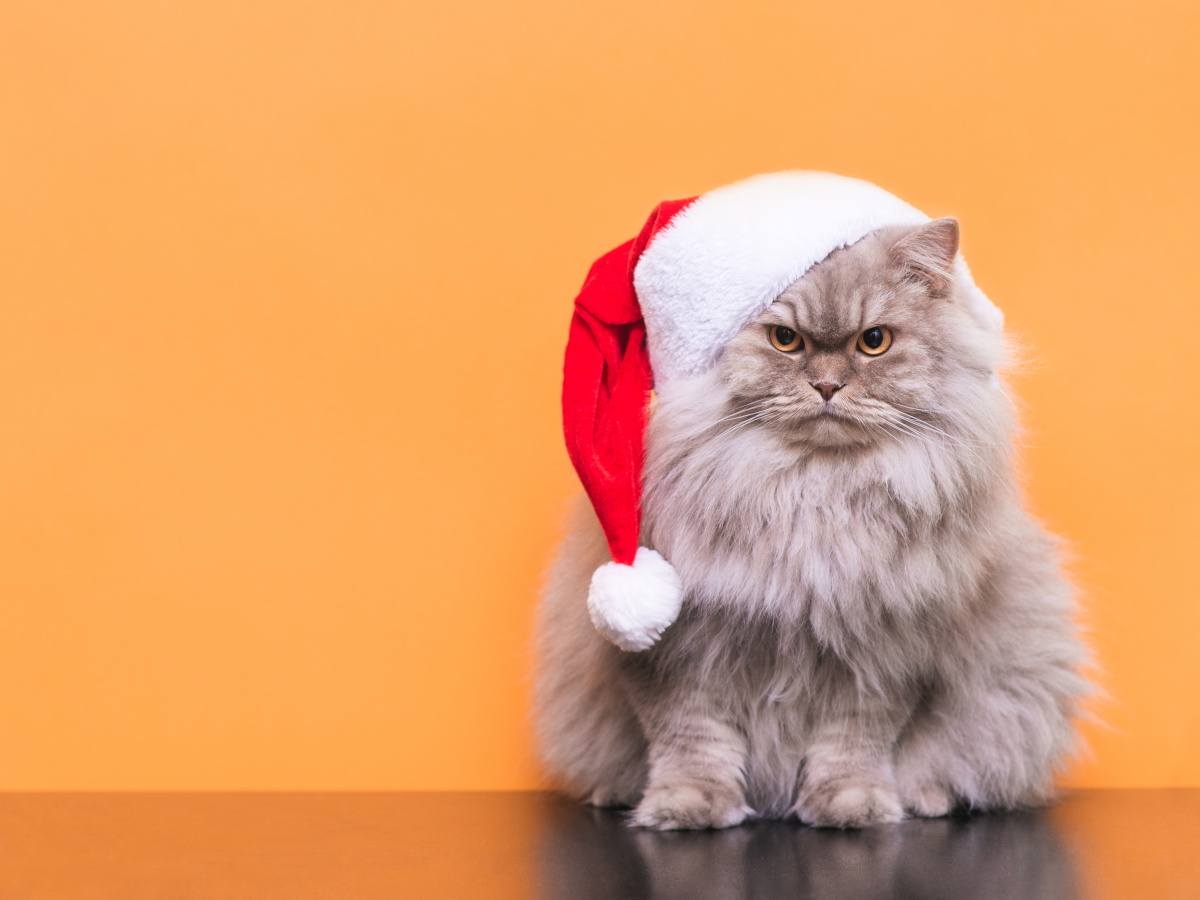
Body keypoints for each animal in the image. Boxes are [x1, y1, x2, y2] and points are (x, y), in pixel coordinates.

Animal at [535, 217, 1089, 830]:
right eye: (786, 340)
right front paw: (689, 807)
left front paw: (853, 806)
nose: (826, 386)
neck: (813, 493)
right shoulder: (676, 656)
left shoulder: (884, 658)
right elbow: (693, 741)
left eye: (874, 342)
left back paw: (929, 799)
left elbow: (850, 745)